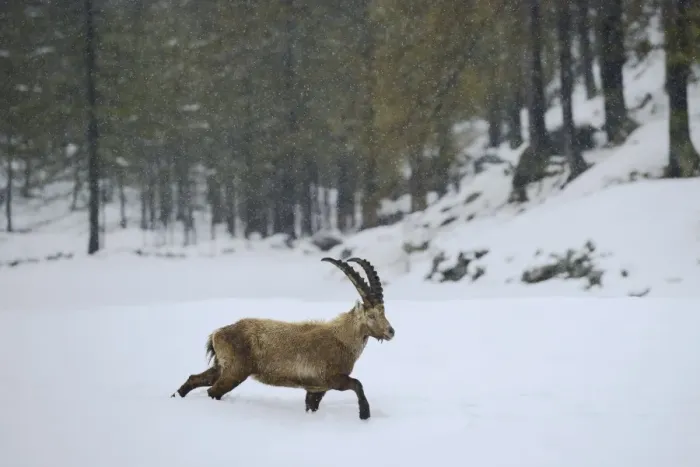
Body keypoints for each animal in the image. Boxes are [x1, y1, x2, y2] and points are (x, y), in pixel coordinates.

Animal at [171, 257, 395, 420]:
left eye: (384, 311)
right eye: (371, 315)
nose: (391, 331)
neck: (341, 339)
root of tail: (218, 333)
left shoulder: (316, 388)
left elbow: (311, 406)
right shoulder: (332, 378)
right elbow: (357, 384)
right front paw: (364, 415)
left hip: (222, 366)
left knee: (195, 379)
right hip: (236, 371)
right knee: (213, 391)